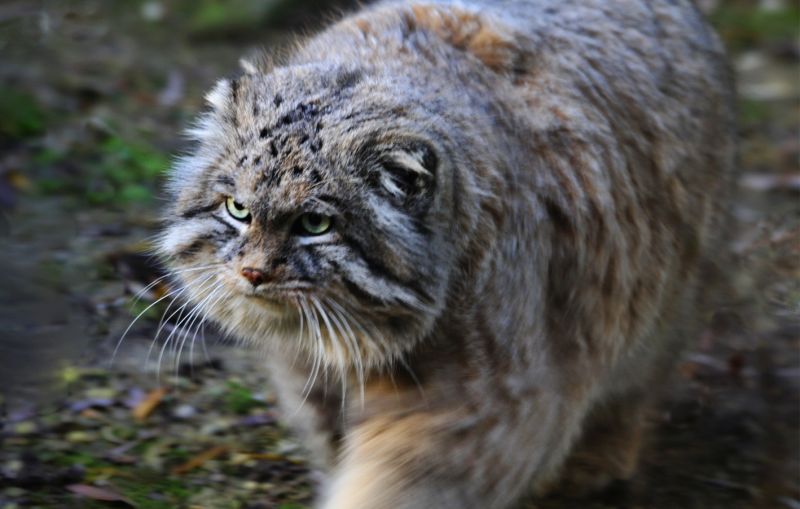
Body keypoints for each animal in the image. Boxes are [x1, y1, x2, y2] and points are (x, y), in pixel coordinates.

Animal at [153, 1, 736, 506]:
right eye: (238, 209)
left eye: (315, 225)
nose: (253, 273)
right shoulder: (309, 379)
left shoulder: (485, 406)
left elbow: (398, 484)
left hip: (659, 306)